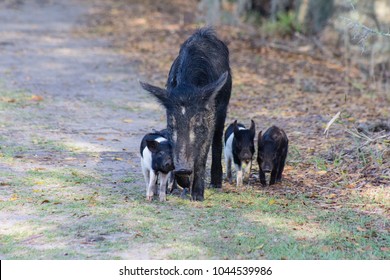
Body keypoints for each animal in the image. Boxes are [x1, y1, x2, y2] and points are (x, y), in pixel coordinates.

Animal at [141, 26, 230, 201]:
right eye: (171, 124)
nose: (182, 168)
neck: (187, 88)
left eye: (198, 123)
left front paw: (197, 196)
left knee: (217, 140)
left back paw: (216, 184)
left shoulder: (210, 120)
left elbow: (202, 157)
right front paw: (178, 188)